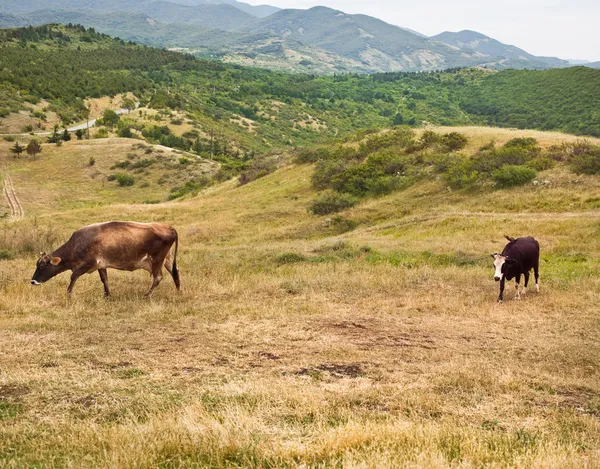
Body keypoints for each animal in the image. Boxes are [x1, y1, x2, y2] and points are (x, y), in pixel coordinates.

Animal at [30, 220, 179, 296]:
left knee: (158, 277)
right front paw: (107, 295)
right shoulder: (101, 265)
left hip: (157, 260)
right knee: (175, 272)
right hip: (167, 259)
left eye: (42, 266)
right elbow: (104, 280)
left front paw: (68, 294)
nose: (33, 281)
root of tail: (169, 227)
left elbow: (73, 277)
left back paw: (148, 294)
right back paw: (178, 290)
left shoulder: (88, 263)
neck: (77, 243)